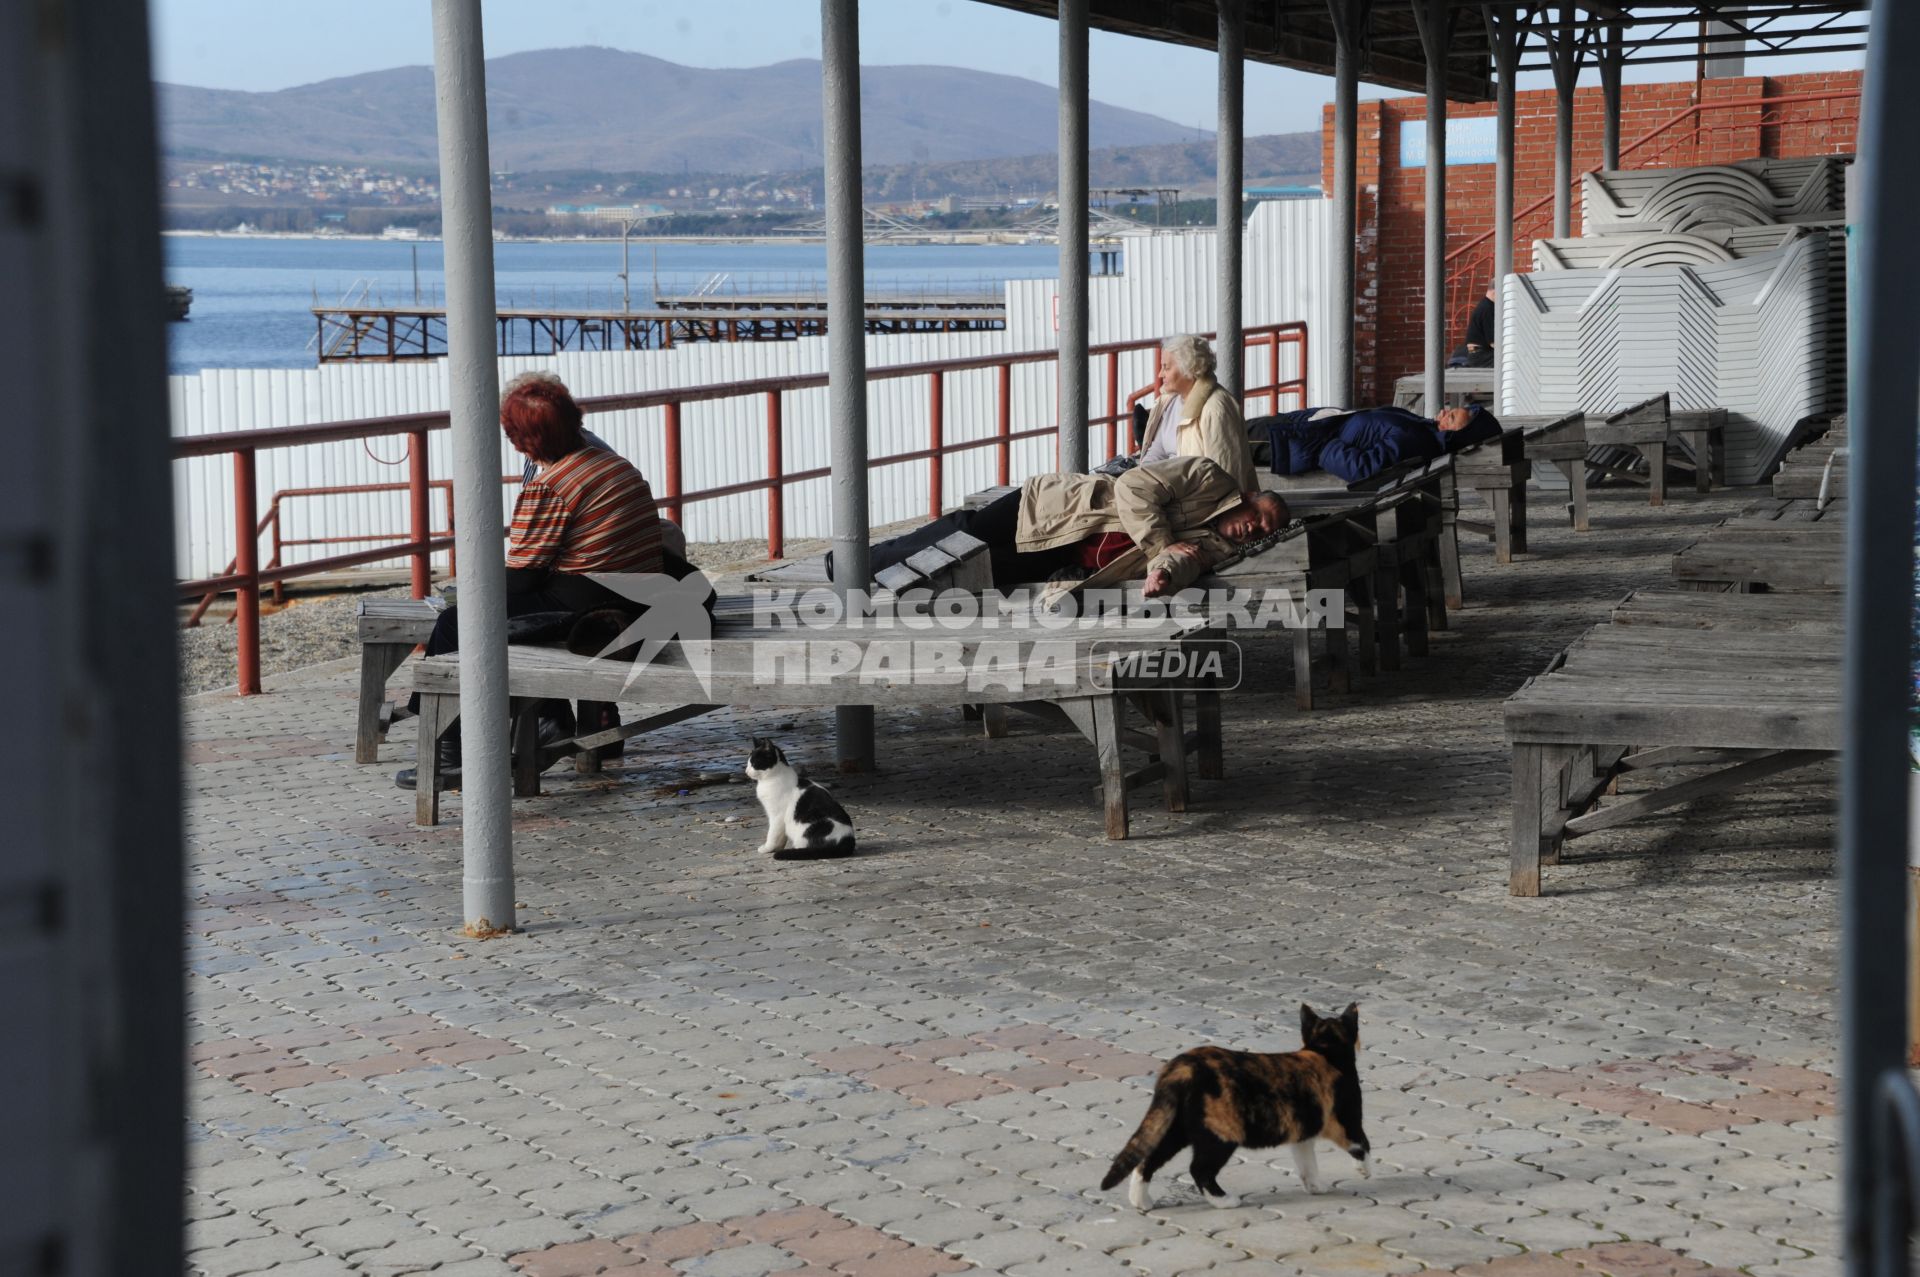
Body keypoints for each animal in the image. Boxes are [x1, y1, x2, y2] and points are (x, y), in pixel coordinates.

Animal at [1105, 1006, 1374, 1205]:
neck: (1326, 1052)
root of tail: (1182, 1067)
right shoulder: (1346, 1118)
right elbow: (1361, 1144)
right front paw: (1364, 1171)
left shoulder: (1303, 1130)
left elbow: (1307, 1161)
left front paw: (1315, 1186)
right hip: (1221, 1135)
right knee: (1199, 1169)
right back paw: (1224, 1200)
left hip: (1173, 1127)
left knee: (1147, 1160)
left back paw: (1141, 1201)